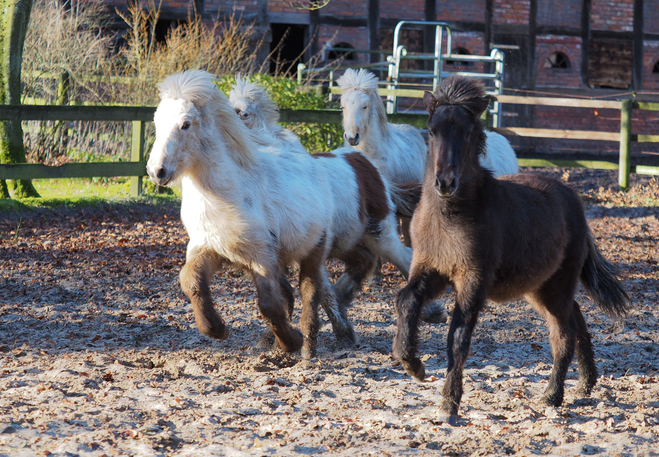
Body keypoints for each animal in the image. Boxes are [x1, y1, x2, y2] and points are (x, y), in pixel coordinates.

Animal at [148, 70, 418, 356]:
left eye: (186, 124)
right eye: (157, 122)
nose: (157, 171)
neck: (232, 190)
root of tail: (363, 162)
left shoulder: (263, 257)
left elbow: (270, 305)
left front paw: (291, 342)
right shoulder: (210, 248)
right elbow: (191, 281)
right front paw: (216, 328)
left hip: (371, 235)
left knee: (398, 259)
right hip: (342, 243)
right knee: (357, 264)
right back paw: (342, 326)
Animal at [394, 75, 632, 424]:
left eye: (466, 131)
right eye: (432, 130)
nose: (445, 183)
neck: (451, 216)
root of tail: (573, 200)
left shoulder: (473, 278)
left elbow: (458, 336)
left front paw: (449, 403)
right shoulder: (431, 269)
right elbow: (407, 299)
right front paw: (412, 363)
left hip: (558, 284)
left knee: (563, 332)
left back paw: (552, 395)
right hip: (540, 287)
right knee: (575, 316)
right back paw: (585, 384)